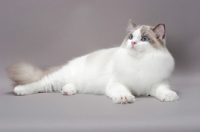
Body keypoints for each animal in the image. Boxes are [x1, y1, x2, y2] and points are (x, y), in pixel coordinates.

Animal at [6, 19, 179, 104]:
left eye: (144, 39)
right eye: (131, 37)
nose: (133, 43)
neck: (139, 62)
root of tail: (71, 62)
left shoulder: (157, 84)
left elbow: (163, 91)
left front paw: (170, 96)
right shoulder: (117, 83)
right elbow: (122, 92)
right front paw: (124, 98)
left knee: (66, 86)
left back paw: (68, 91)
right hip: (57, 79)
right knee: (40, 84)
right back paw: (20, 90)